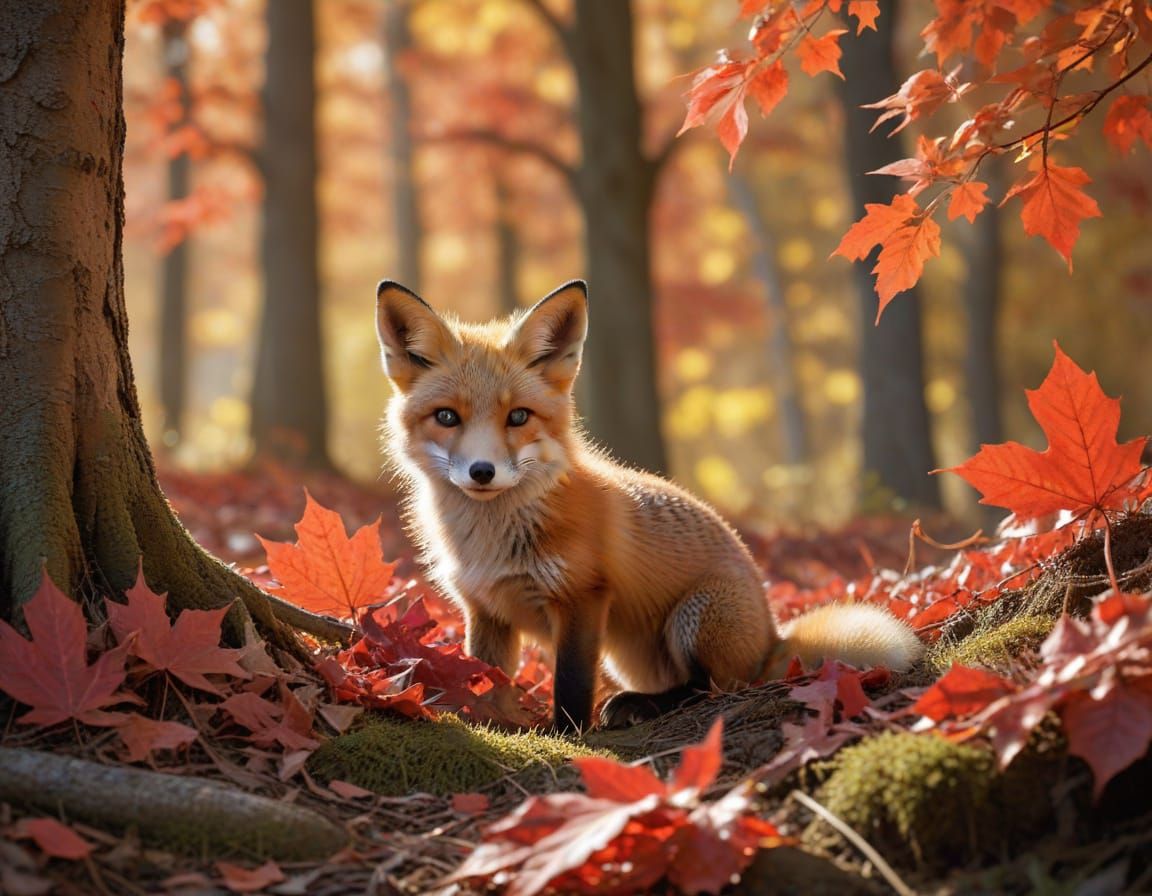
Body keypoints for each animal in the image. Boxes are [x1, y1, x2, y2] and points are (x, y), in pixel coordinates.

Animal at [375, 278, 923, 732]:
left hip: (695, 617)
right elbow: (486, 679)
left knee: (710, 687)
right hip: (629, 653)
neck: (492, 542)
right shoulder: (486, 610)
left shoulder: (583, 598)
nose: (482, 472)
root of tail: (774, 637)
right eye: (447, 417)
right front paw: (490, 723)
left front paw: (565, 735)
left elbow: (570, 683)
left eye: (519, 417)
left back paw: (639, 706)